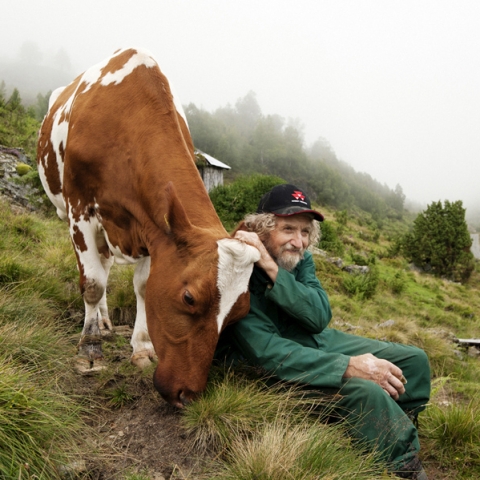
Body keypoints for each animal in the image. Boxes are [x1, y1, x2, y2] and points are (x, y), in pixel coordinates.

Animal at [37, 47, 260, 408]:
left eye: (239, 313)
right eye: (189, 297)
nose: (188, 394)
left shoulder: (151, 229)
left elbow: (143, 286)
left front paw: (142, 348)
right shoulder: (79, 210)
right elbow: (92, 284)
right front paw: (90, 351)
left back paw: (106, 321)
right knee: (97, 273)